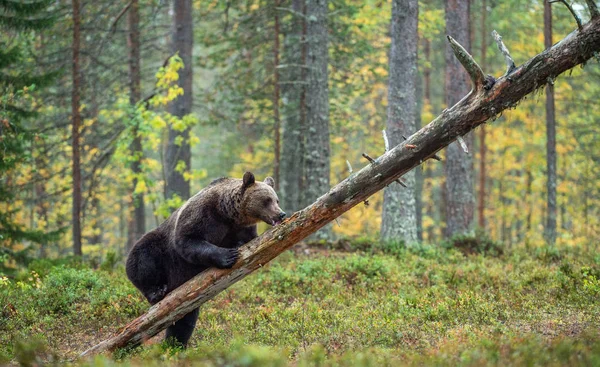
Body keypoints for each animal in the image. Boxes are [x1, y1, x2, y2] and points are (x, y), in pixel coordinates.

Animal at [125, 172, 284, 348]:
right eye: (267, 200)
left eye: (276, 200)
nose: (281, 214)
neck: (229, 214)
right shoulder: (203, 215)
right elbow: (188, 240)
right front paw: (227, 256)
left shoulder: (240, 228)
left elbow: (248, 241)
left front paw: (237, 246)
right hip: (160, 250)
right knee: (141, 257)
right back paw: (156, 291)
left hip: (185, 298)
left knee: (185, 320)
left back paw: (174, 344)